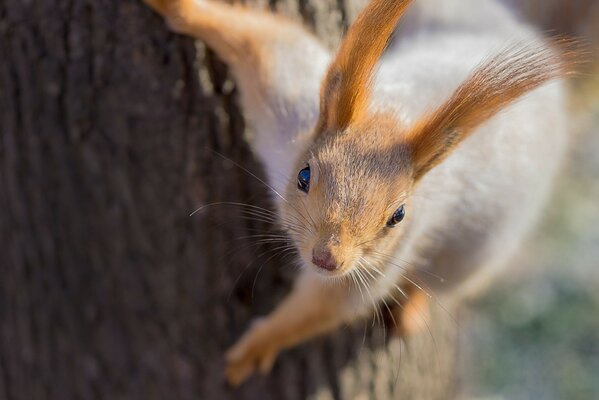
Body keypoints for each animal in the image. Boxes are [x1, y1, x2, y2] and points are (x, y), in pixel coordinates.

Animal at [143, 0, 580, 388]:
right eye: (303, 176)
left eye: (398, 216)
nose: (327, 258)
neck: (396, 115)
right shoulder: (288, 104)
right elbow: (265, 42)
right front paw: (179, 7)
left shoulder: (378, 263)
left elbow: (327, 306)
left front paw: (258, 346)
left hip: (477, 252)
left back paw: (413, 307)